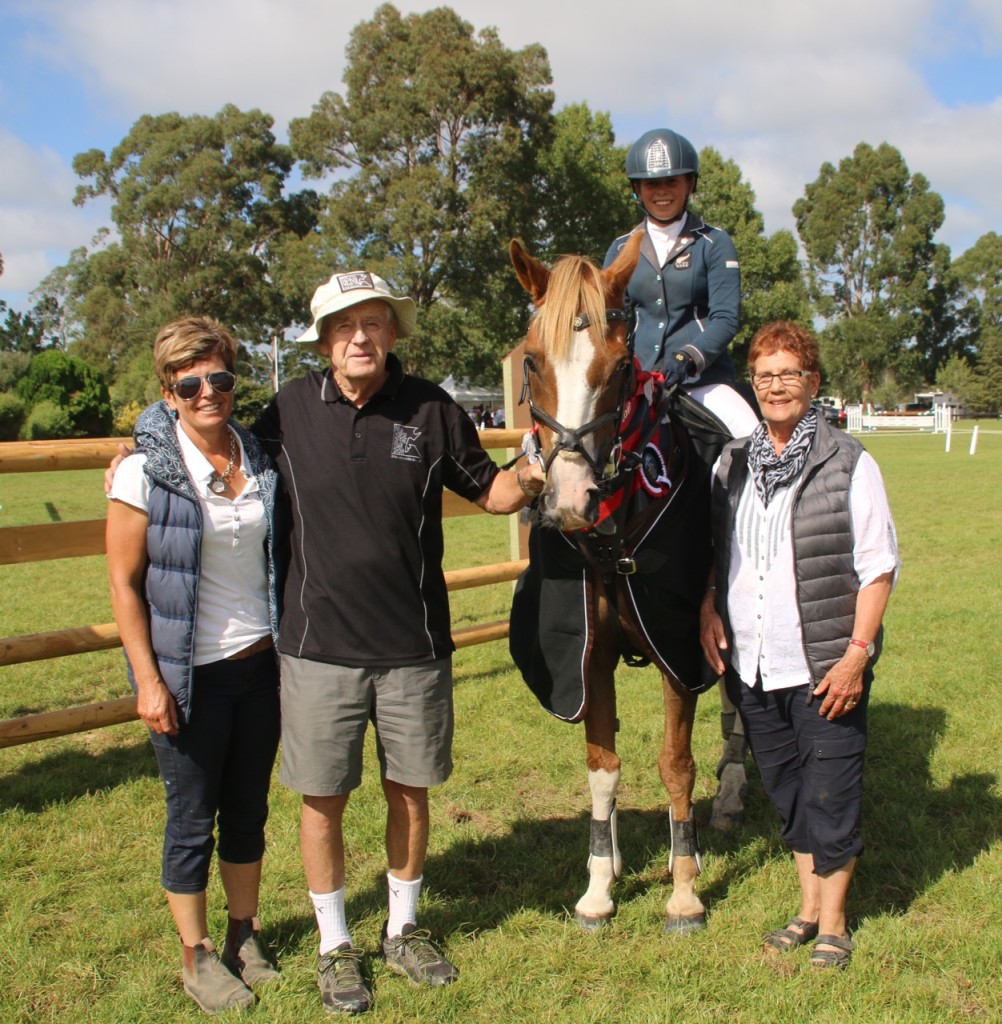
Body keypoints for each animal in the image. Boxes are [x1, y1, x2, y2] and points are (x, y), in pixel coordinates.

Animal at [509, 234, 720, 937]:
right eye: (532, 361)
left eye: (622, 365)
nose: (571, 500)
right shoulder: (589, 657)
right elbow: (603, 769)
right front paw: (599, 887)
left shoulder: (681, 651)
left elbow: (676, 766)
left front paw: (684, 892)